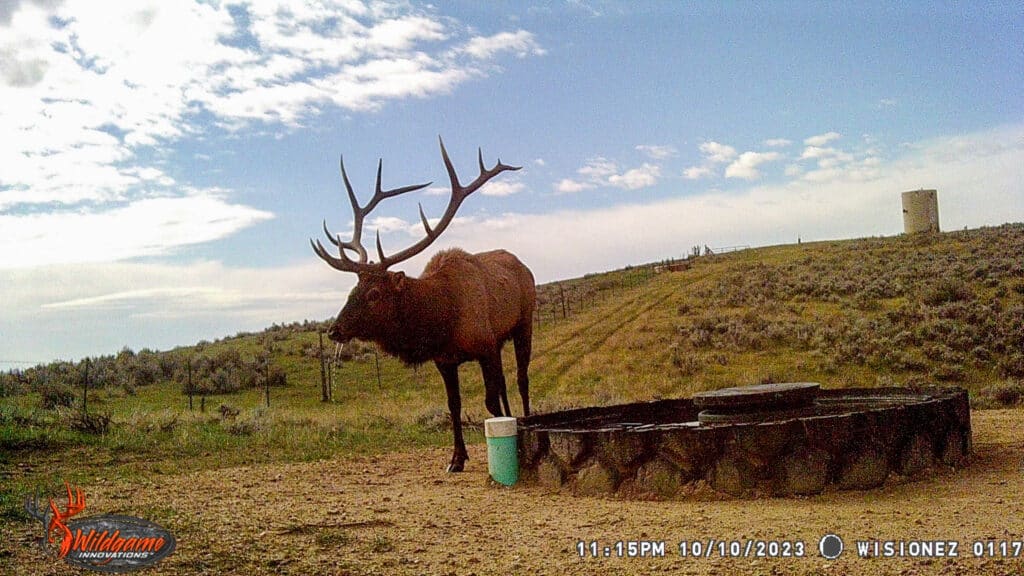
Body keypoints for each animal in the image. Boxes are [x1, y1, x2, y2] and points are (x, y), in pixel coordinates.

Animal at [311, 138, 536, 473]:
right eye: (353, 289)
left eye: (374, 293)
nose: (335, 330)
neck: (443, 319)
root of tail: (523, 265)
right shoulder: (446, 359)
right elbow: (454, 404)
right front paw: (456, 458)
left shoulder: (484, 346)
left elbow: (489, 401)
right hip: (500, 341)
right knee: (506, 383)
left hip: (525, 324)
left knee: (522, 379)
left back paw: (529, 421)